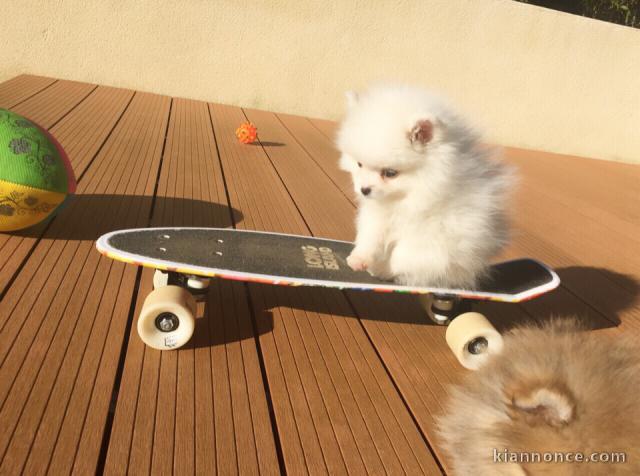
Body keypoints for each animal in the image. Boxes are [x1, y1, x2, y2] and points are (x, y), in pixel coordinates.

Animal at [336, 83, 516, 288]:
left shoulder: (434, 237)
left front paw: (382, 268)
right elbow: (369, 237)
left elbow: (403, 256)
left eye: (390, 173)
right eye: (359, 164)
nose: (364, 190)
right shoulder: (378, 216)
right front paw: (358, 259)